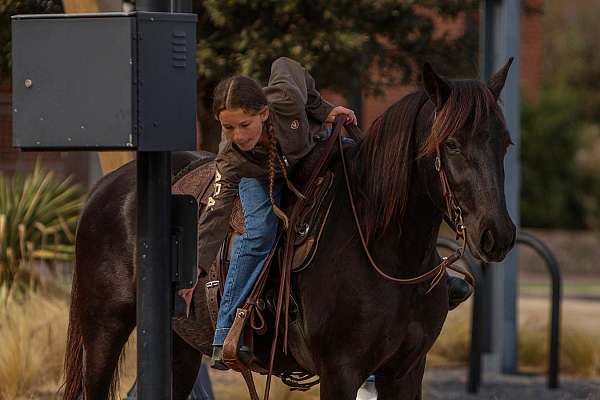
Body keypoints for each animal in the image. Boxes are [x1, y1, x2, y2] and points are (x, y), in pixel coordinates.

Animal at [64, 60, 516, 400]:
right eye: (452, 144)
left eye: (505, 143)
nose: (498, 234)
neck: (385, 251)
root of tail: (108, 187)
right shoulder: (341, 371)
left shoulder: (405, 371)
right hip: (104, 328)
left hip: (177, 345)